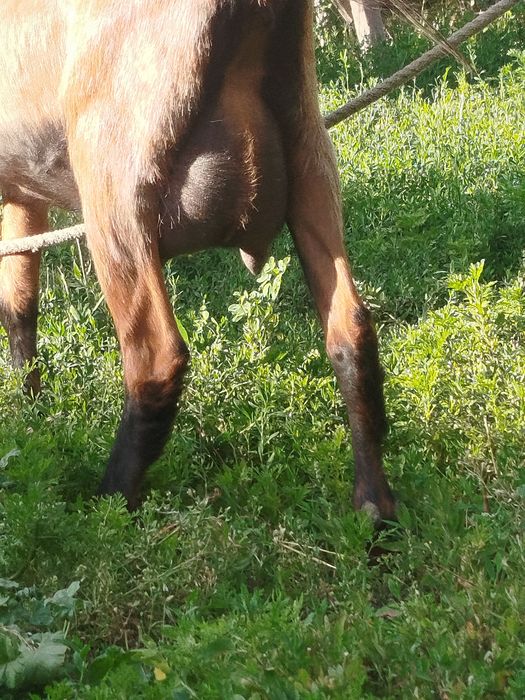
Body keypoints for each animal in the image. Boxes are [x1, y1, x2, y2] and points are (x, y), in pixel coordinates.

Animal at [0, 0, 395, 520]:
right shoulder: (22, 192)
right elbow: (18, 304)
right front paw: (31, 409)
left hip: (113, 183)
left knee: (156, 356)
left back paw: (109, 504)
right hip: (309, 151)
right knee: (350, 328)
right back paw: (375, 508)